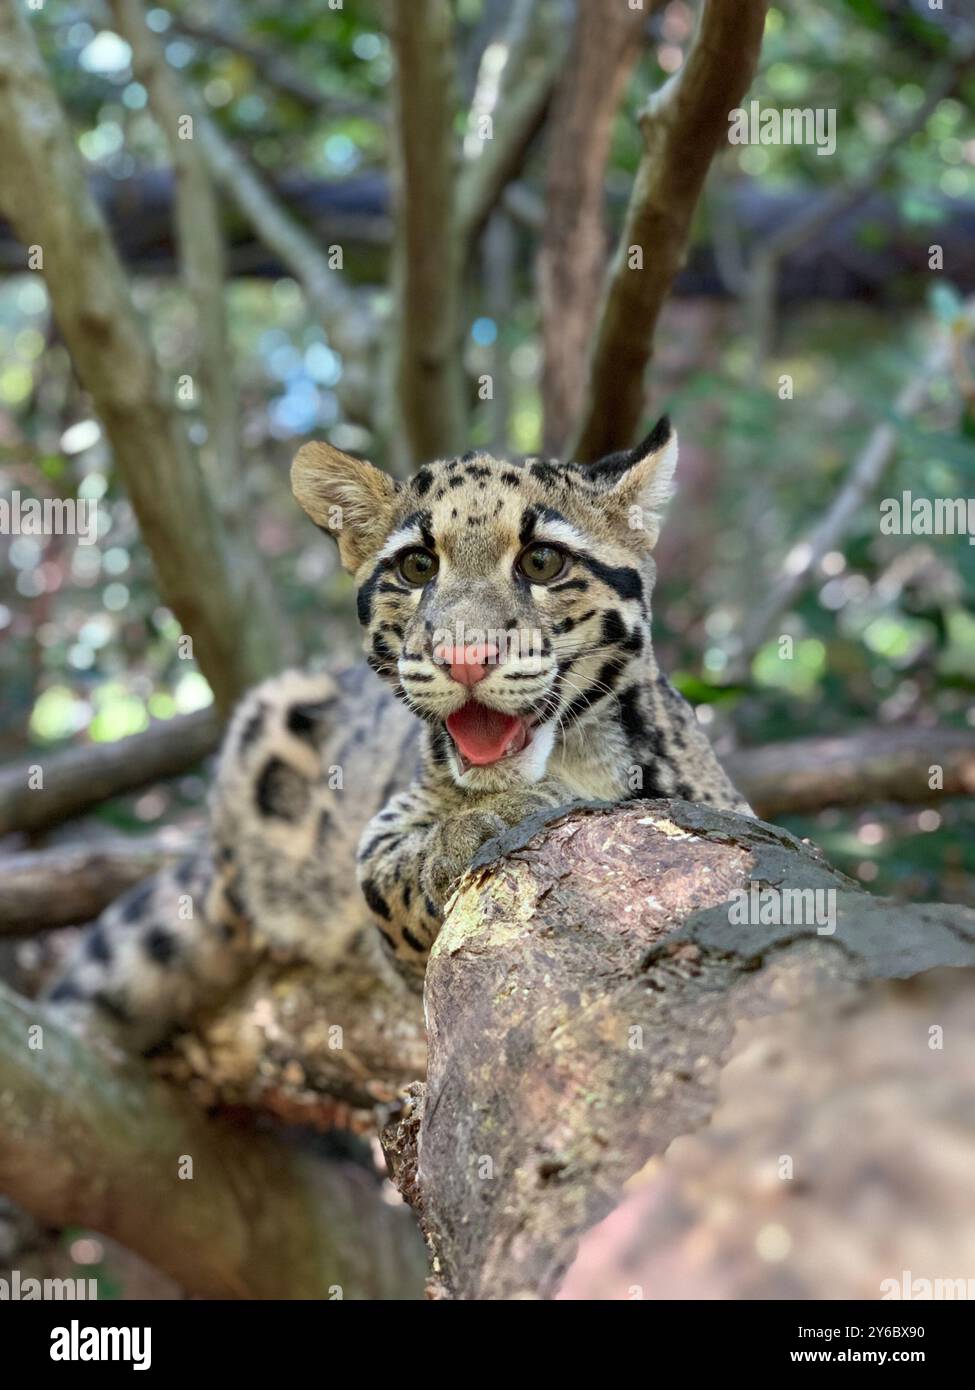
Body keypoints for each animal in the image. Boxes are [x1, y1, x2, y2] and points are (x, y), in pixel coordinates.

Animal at [46, 418, 751, 1043]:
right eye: (417, 567)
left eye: (543, 560)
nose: (465, 656)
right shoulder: (384, 838)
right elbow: (391, 877)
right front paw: (489, 823)